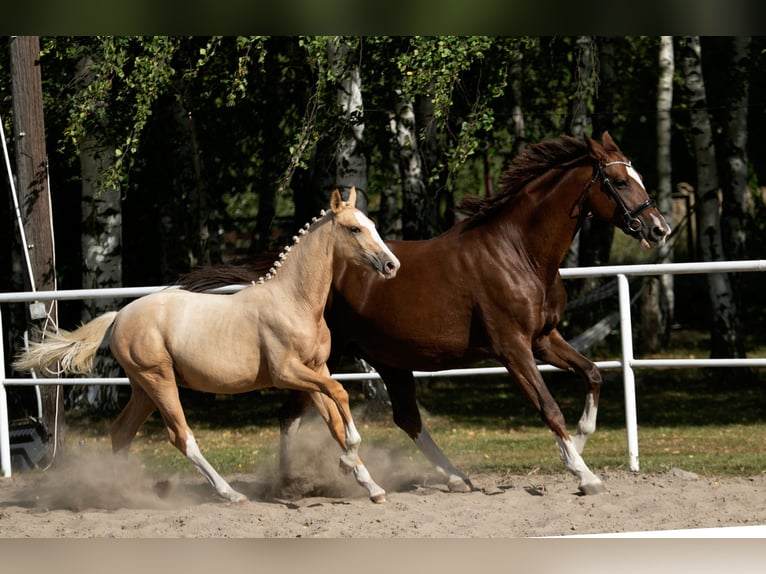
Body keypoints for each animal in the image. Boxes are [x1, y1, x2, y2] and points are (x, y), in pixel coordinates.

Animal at [13, 189, 402, 504]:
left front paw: (372, 487)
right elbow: (341, 393)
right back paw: (230, 494)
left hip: (143, 388)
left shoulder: (315, 370)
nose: (391, 265)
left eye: (371, 224)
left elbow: (335, 419)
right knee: (181, 436)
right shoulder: (288, 373)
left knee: (121, 431)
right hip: (159, 381)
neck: (294, 302)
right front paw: (349, 460)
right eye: (355, 229)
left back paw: (120, 492)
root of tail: (120, 316)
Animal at [180, 133, 672, 498]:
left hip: (387, 360)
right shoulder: (513, 348)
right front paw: (583, 473)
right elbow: (548, 406)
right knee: (293, 415)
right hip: (329, 358)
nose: (659, 228)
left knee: (402, 418)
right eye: (619, 181)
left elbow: (593, 374)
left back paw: (453, 477)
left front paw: (583, 443)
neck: (519, 253)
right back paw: (292, 485)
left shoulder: (545, 338)